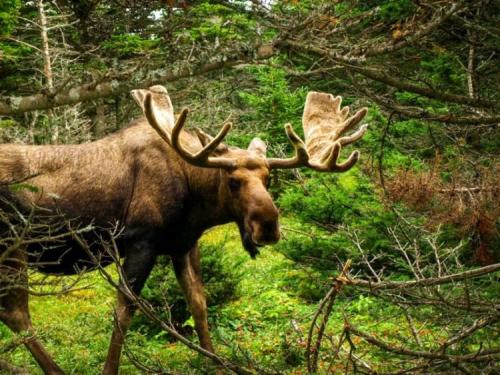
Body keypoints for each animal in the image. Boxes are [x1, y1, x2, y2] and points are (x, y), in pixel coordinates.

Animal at [0, 86, 368, 375]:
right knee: (17, 313)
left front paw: (214, 362)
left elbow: (199, 303)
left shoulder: (184, 244)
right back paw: (54, 369)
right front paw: (110, 369)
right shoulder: (141, 241)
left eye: (268, 178)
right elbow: (124, 310)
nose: (267, 226)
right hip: (12, 246)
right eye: (232, 181)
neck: (193, 196)